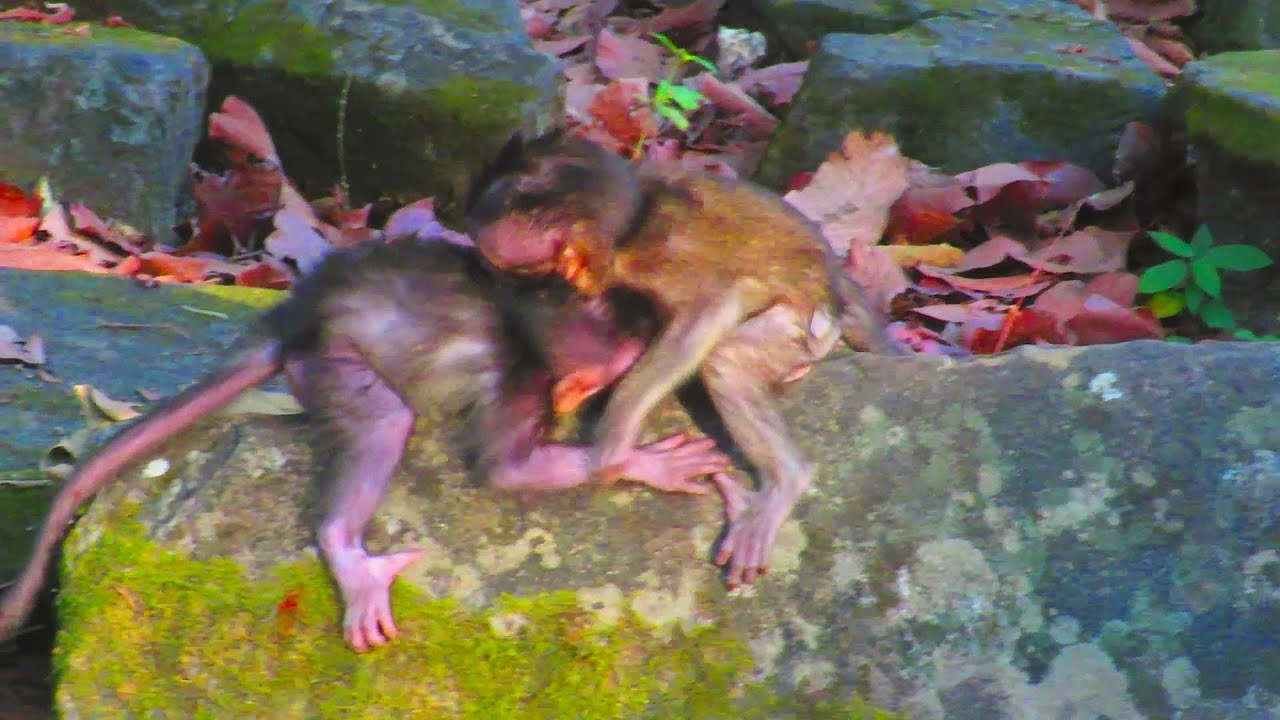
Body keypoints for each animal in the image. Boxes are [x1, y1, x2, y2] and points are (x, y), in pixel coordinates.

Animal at [0, 236, 730, 653]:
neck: (540, 317)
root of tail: (298, 312)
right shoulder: (525, 380)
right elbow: (506, 468)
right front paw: (641, 460)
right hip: (334, 362)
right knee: (383, 421)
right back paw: (348, 553)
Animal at [465, 131, 903, 588]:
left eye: (515, 270)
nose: (503, 286)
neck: (635, 220)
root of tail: (832, 287)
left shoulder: (657, 256)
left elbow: (713, 305)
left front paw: (614, 449)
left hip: (803, 324)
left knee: (727, 358)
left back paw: (786, 480)